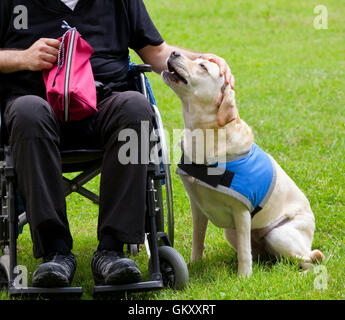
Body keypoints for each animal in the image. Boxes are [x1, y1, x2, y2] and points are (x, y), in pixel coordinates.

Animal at [161, 51, 322, 276]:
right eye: (198, 59)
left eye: (202, 66)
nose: (174, 52)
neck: (204, 137)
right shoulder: (197, 207)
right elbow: (198, 240)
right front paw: (194, 265)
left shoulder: (241, 212)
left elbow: (245, 254)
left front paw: (244, 277)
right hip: (232, 233)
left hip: (278, 235)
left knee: (310, 259)